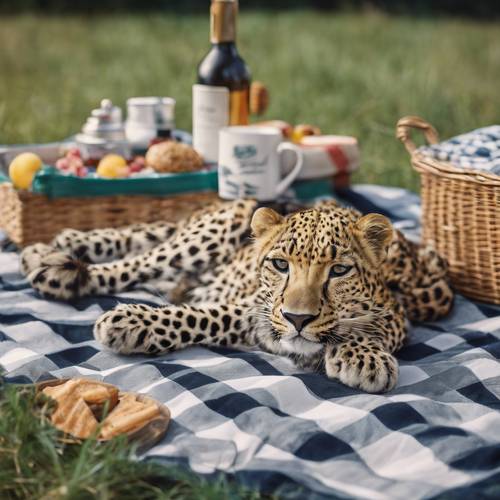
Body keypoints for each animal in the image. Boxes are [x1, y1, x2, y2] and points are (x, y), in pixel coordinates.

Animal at [18, 197, 454, 392]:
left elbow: (375, 326)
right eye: (280, 265)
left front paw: (362, 355)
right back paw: (53, 266)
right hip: (204, 235)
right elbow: (203, 315)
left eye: (339, 271)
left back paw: (54, 251)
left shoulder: (409, 308)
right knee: (133, 263)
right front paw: (133, 320)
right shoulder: (259, 313)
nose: (298, 319)